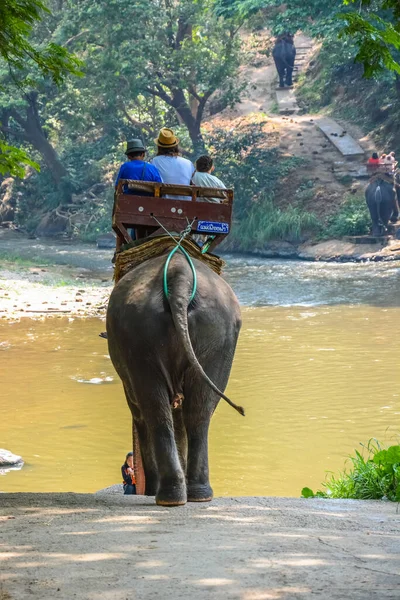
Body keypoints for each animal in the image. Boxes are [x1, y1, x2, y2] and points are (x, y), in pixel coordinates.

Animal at [106, 252, 242, 506]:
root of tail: (180, 277)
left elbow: (140, 412)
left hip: (142, 338)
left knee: (156, 410)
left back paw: (166, 496)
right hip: (215, 334)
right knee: (198, 412)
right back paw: (193, 495)